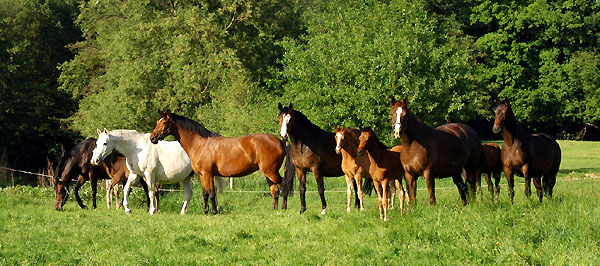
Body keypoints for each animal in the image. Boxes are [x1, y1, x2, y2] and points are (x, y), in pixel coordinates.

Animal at [148, 111, 292, 215]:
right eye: (157, 121)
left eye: (164, 122)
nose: (152, 138)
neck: (200, 144)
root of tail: (279, 141)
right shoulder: (203, 175)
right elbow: (206, 193)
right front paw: (207, 211)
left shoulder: (207, 173)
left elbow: (211, 193)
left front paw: (213, 212)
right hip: (268, 173)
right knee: (275, 191)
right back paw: (275, 211)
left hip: (271, 172)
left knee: (283, 185)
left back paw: (284, 208)